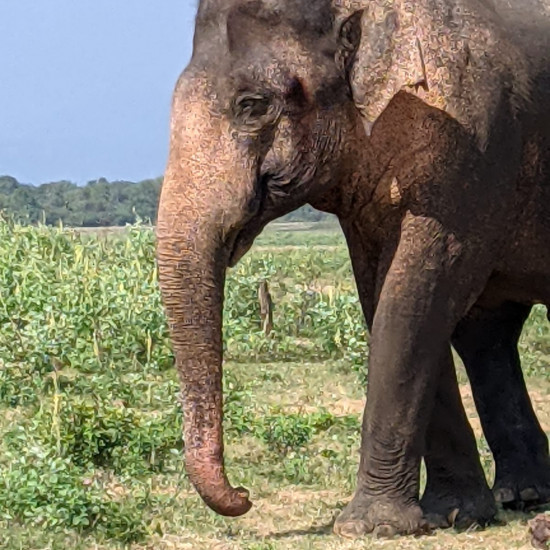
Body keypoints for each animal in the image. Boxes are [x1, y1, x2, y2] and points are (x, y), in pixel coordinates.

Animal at [156, 0, 550, 540]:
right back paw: (522, 497)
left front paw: (370, 527)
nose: (244, 496)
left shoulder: (472, 149)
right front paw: (451, 516)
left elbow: (414, 295)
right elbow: (380, 294)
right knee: (488, 334)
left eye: (252, 105)